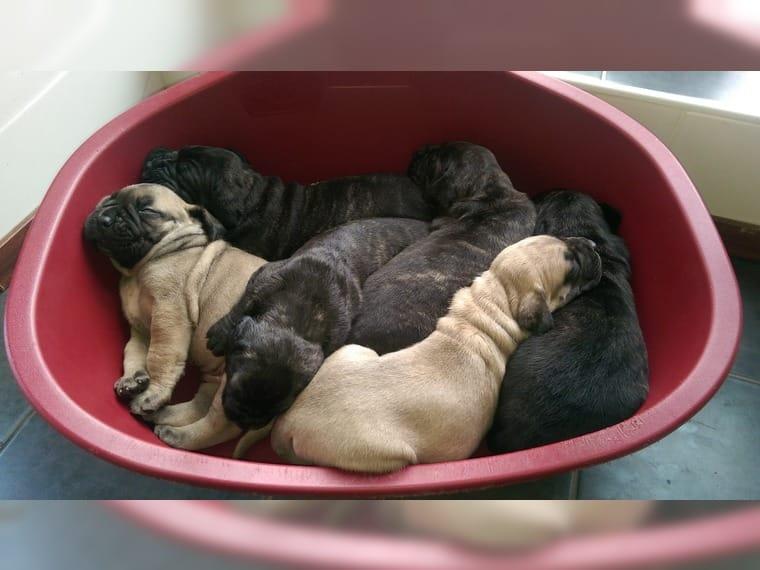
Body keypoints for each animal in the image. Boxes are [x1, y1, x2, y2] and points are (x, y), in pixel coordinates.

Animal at [83, 183, 271, 450]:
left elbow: (159, 356)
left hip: (235, 380)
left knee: (220, 425)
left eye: (148, 210)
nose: (104, 217)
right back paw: (162, 416)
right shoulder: (139, 329)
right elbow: (133, 351)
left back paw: (178, 434)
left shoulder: (168, 314)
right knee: (201, 405)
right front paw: (133, 379)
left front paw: (153, 393)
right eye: (109, 199)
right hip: (215, 378)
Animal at [204, 218, 429, 439]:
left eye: (280, 408)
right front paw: (220, 335)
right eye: (235, 387)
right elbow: (241, 305)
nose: (244, 422)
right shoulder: (261, 280)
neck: (297, 319)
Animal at [270, 235, 603, 473]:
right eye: (572, 267)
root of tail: (288, 423)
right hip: (387, 456)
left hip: (355, 351)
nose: (593, 244)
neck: (493, 302)